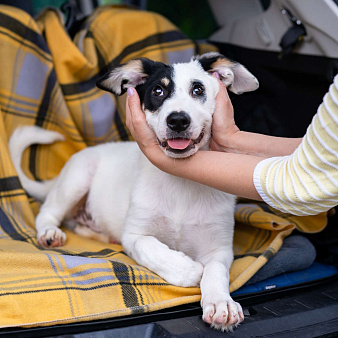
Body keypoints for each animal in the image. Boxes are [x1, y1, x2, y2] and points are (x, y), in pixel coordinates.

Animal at [9, 53, 258, 332]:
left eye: (198, 90)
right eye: (158, 91)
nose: (177, 120)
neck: (182, 179)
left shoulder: (220, 247)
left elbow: (216, 272)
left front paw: (220, 303)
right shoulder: (135, 235)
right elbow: (156, 250)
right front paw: (190, 269)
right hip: (77, 177)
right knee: (47, 212)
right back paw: (50, 232)